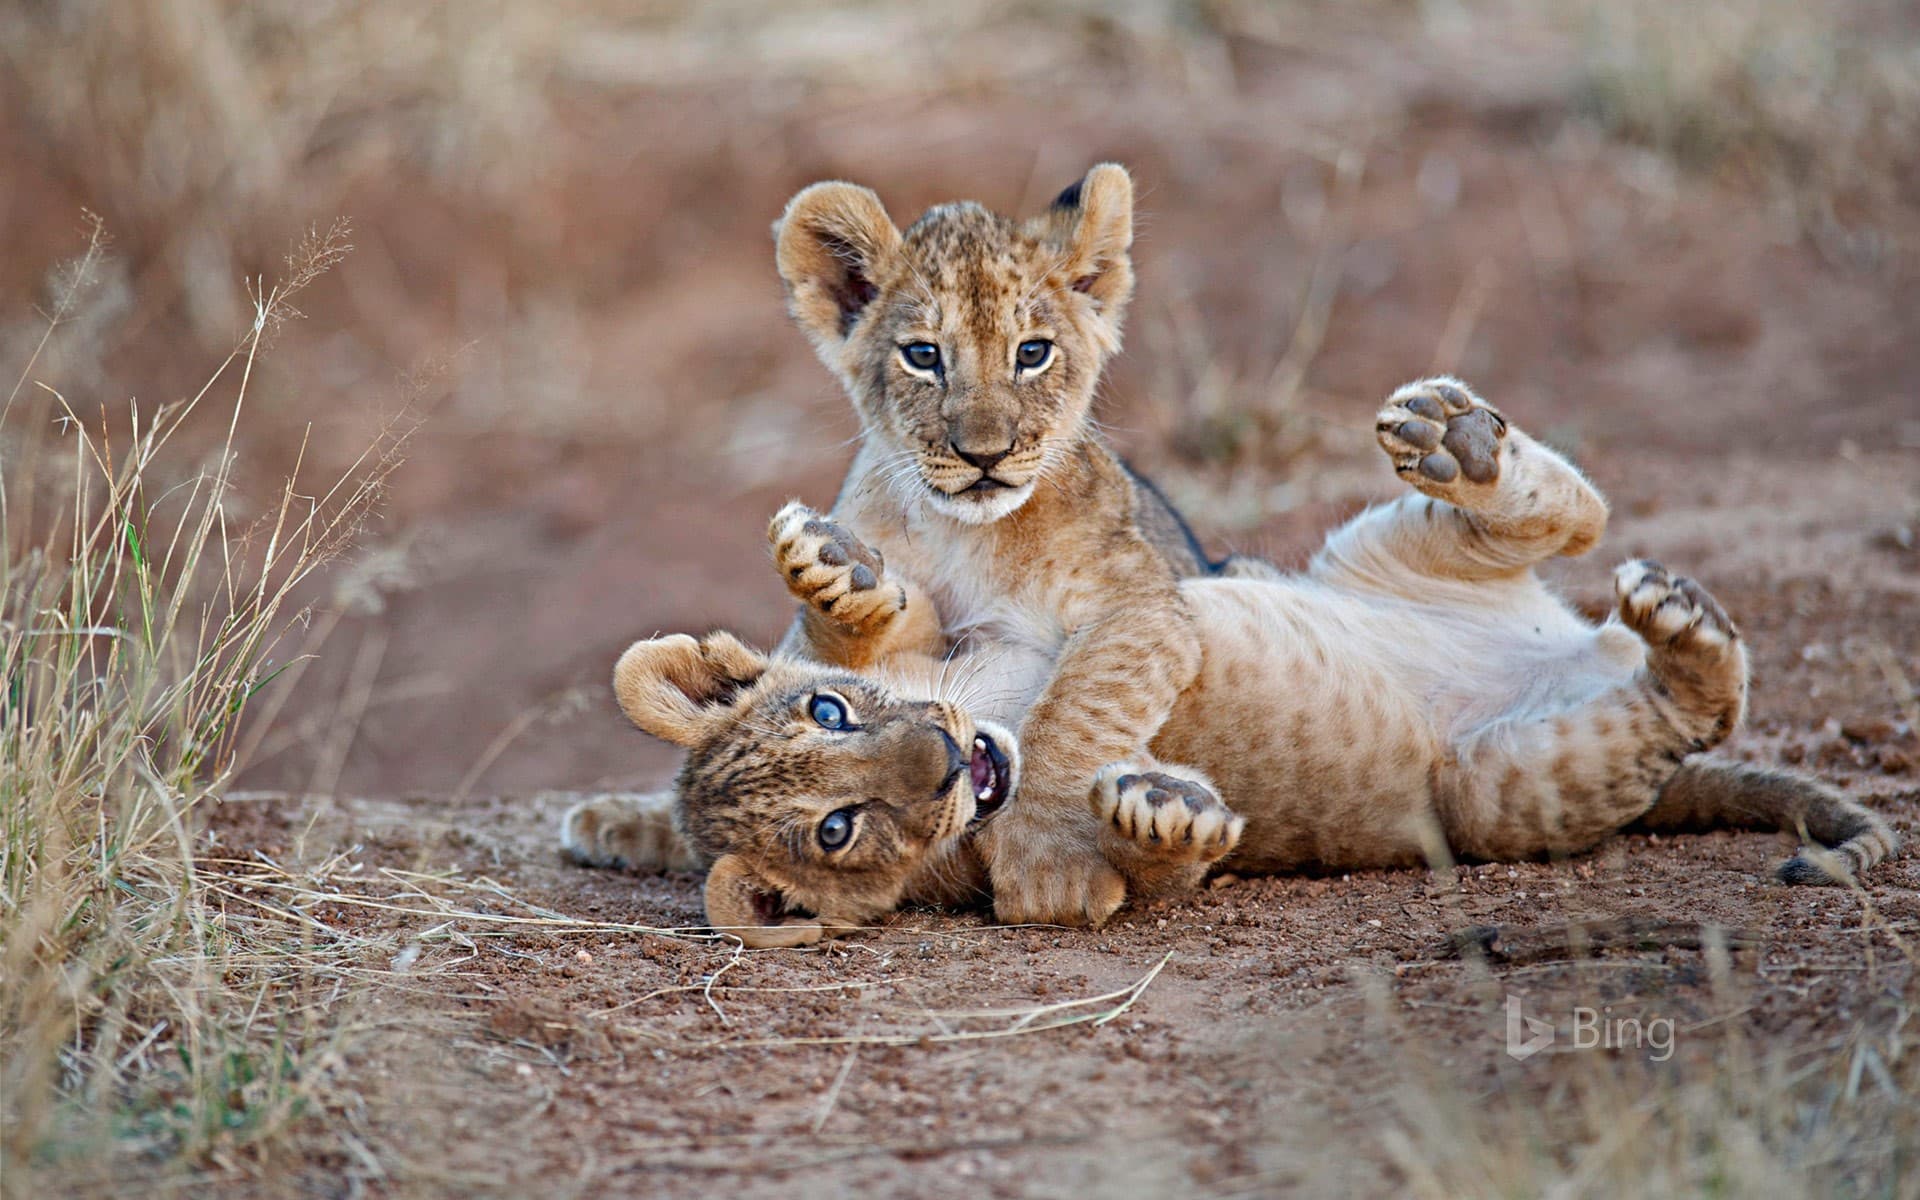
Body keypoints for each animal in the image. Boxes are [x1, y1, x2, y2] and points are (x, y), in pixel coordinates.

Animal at [569, 379, 1899, 946]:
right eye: (836, 832)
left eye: (834, 715)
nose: (943, 760)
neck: (981, 708)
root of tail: (1568, 644)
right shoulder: (1130, 637)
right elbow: (1125, 856)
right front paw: (1141, 825)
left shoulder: (1090, 618)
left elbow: (1032, 674)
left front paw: (837, 572)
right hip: (1499, 789)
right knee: (1686, 705)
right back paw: (1683, 632)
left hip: (1363, 551)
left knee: (1566, 516)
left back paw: (1463, 444)